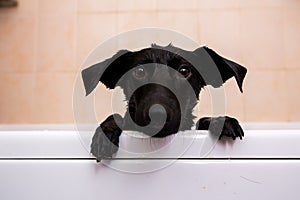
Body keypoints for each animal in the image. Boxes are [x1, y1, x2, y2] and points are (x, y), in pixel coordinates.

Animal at [81, 44, 246, 161]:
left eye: (184, 71)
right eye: (139, 72)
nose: (158, 114)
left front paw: (222, 121)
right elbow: (116, 116)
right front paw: (105, 134)